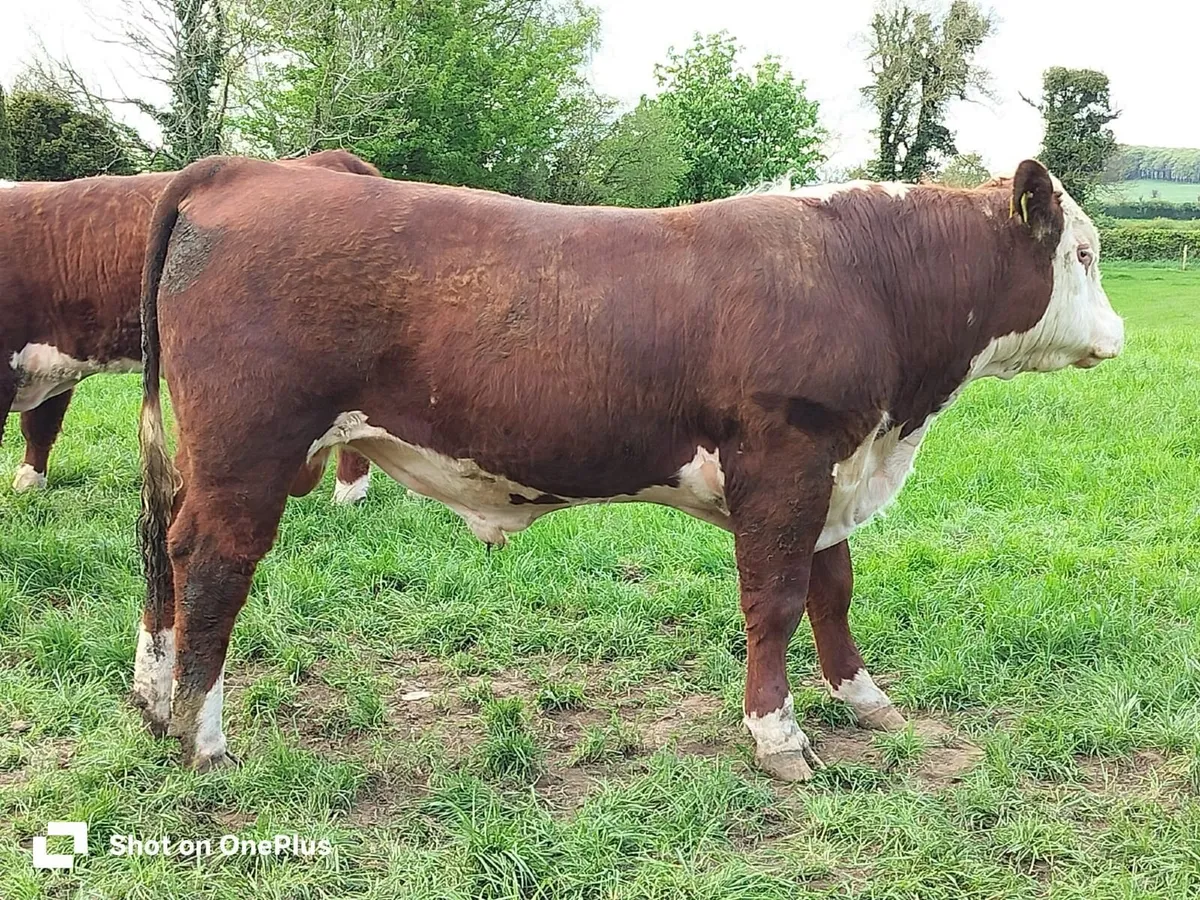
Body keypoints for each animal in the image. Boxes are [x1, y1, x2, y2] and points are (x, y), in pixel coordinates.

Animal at [133, 156, 1123, 779]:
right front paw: (779, 736)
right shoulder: (785, 464)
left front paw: (865, 698)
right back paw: (202, 739)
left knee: (165, 547)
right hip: (250, 452)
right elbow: (777, 600)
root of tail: (240, 168)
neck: (864, 277)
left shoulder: (834, 468)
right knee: (213, 568)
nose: (1118, 335)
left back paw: (153, 697)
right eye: (1083, 252)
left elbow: (834, 589)